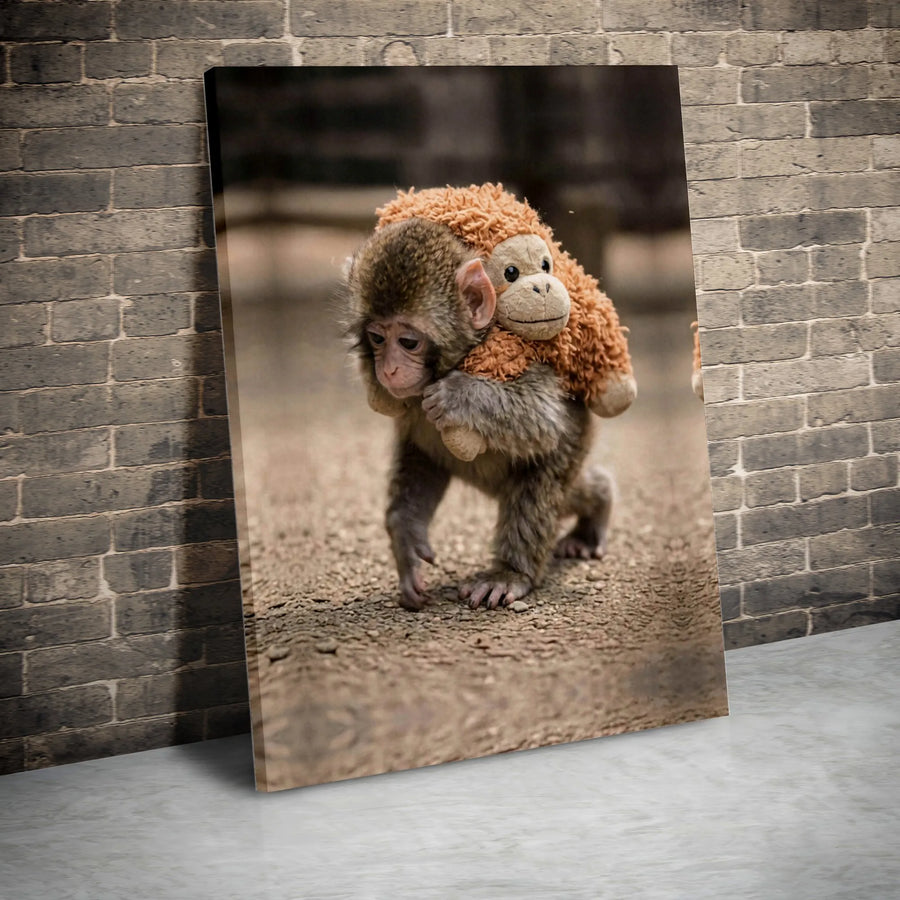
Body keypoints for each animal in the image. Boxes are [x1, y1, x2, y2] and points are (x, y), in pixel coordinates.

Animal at [345, 217, 614, 612]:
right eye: (377, 338)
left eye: (408, 342)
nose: (389, 370)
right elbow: (422, 459)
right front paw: (406, 539)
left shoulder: (519, 357)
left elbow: (545, 418)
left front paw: (458, 395)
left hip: (576, 444)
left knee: (548, 479)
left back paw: (515, 570)